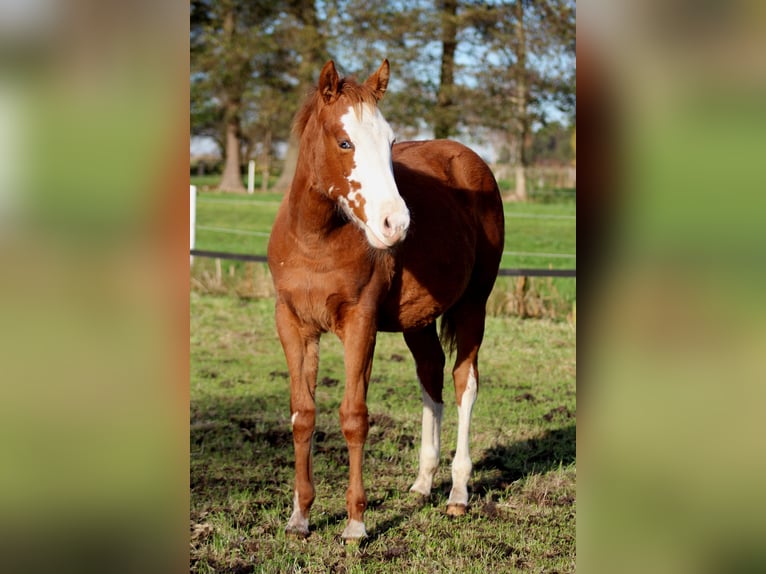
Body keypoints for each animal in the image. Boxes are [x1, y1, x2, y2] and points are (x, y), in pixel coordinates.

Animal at [267, 59, 504, 541]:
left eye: (391, 141)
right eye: (344, 141)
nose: (396, 223)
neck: (314, 239)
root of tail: (472, 161)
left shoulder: (361, 322)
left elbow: (354, 416)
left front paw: (356, 524)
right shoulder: (293, 324)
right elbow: (303, 414)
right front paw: (300, 517)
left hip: (474, 304)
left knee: (464, 382)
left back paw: (457, 492)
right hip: (419, 319)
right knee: (431, 375)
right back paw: (423, 483)